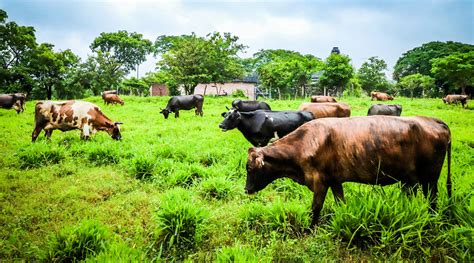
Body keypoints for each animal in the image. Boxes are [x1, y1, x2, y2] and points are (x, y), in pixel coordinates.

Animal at [244, 116, 452, 228]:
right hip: (416, 180)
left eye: (250, 168)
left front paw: (311, 229)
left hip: (430, 178)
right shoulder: (335, 181)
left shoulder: (320, 182)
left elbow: (316, 207)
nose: (246, 189)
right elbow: (340, 203)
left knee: (432, 200)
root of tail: (433, 121)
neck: (304, 144)